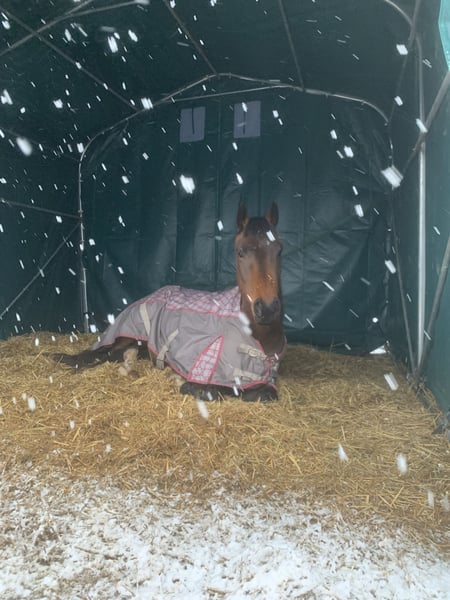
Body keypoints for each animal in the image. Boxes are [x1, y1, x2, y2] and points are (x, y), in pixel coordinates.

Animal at [54, 203, 285, 402]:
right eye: (240, 252)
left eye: (279, 250)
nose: (267, 309)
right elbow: (213, 391)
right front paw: (183, 383)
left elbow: (266, 394)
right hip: (127, 333)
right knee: (101, 351)